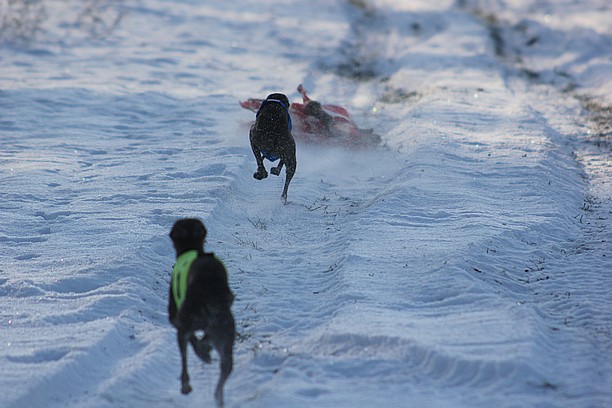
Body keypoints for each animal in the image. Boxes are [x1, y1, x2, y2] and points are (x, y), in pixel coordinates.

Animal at [167, 218, 234, 406]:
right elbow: (202, 339)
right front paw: (205, 349)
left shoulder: (176, 318)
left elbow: (193, 340)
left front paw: (203, 352)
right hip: (225, 331)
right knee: (224, 370)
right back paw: (219, 397)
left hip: (186, 323)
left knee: (185, 358)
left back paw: (186, 385)